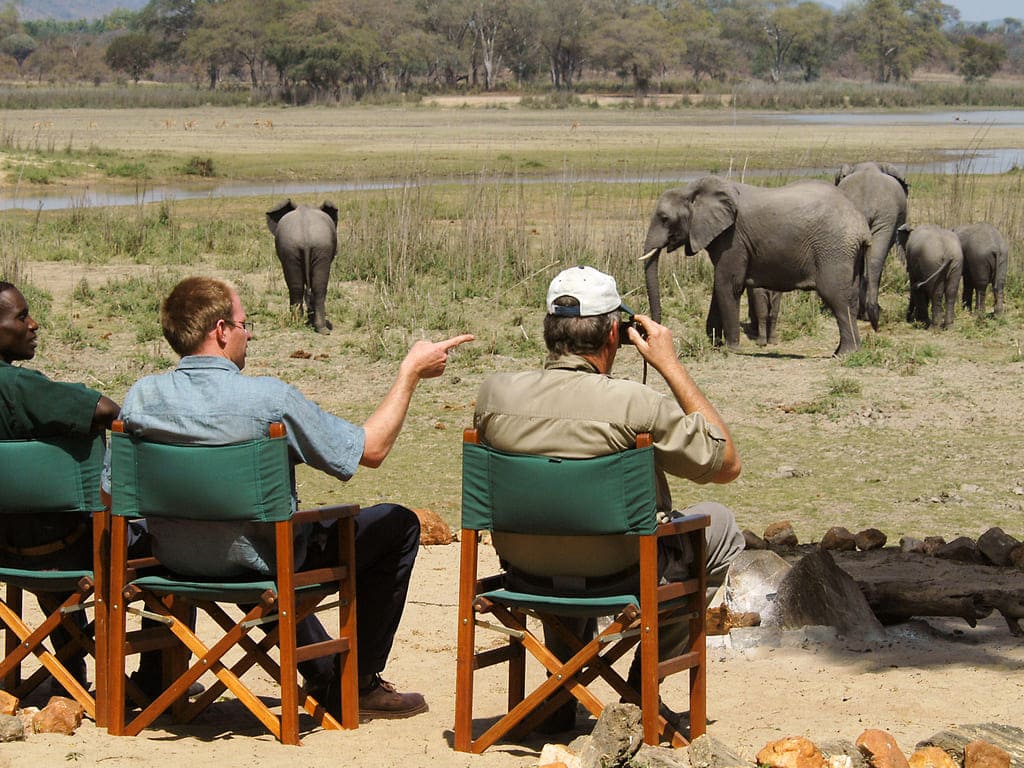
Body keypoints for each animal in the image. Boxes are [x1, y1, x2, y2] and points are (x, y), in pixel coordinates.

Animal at [264, 198, 339, 333]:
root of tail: (306, 237)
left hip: (298, 247)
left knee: (300, 287)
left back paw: (306, 325)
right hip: (301, 247)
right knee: (311, 287)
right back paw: (315, 327)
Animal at [643, 176, 868, 356]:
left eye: (664, 218)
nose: (649, 332)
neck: (692, 189)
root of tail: (861, 225)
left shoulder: (734, 239)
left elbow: (728, 285)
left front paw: (731, 348)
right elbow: (719, 285)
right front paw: (714, 343)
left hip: (834, 250)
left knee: (837, 297)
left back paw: (844, 354)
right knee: (851, 298)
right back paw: (845, 351)